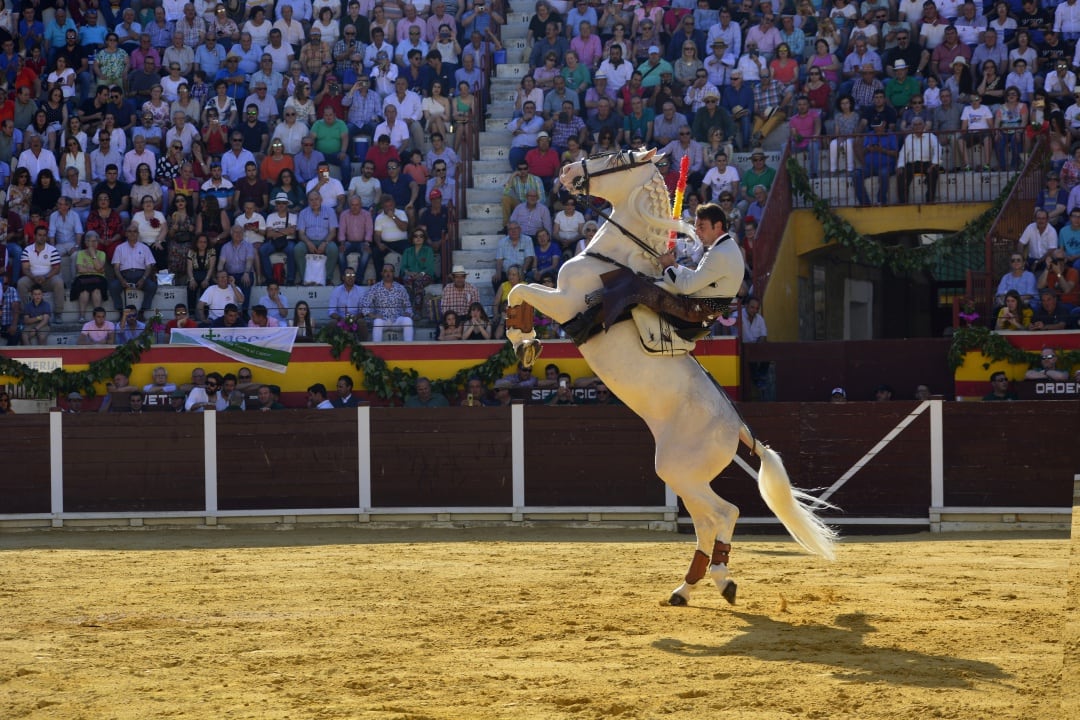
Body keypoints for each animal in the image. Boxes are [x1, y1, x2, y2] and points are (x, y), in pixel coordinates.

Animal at [503, 148, 833, 604]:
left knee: (724, 512)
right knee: (706, 522)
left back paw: (721, 578)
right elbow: (520, 290)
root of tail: (739, 429)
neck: (619, 256)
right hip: (682, 476)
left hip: (680, 472)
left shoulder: (565, 301)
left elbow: (520, 289)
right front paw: (525, 341)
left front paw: (524, 340)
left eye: (614, 156)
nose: (567, 172)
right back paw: (688, 586)